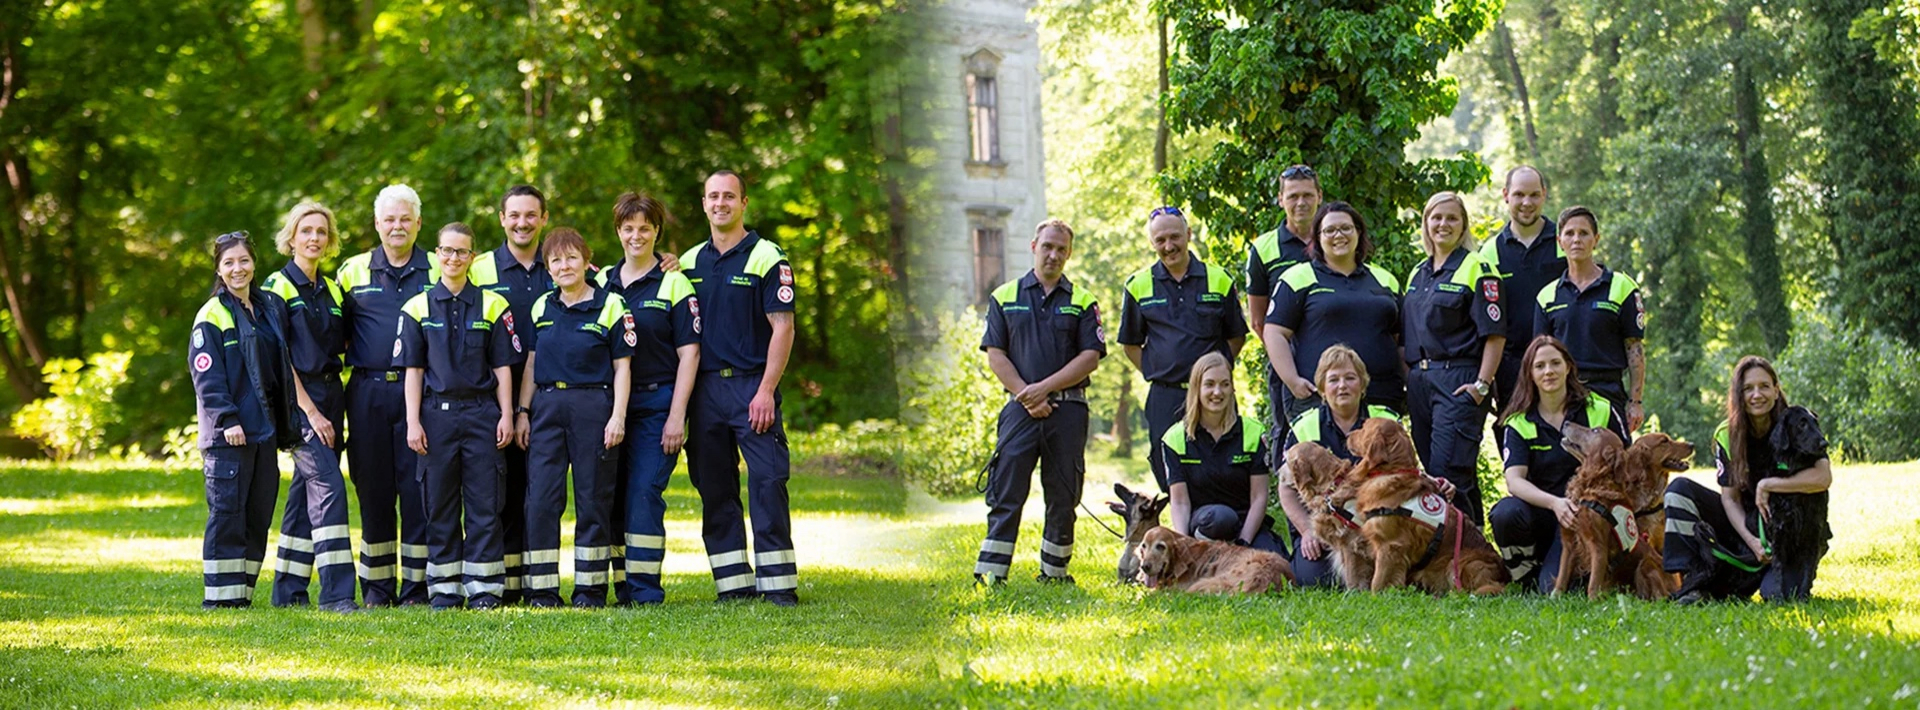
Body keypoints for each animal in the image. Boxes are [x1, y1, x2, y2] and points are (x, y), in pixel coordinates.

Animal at [1351, 418, 1512, 594]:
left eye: (1363, 428)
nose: (1348, 434)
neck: (1391, 471)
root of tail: (1505, 575)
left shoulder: (1391, 546)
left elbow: (1379, 579)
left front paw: (1375, 596)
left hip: (1459, 563)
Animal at [1559, 422, 1681, 598]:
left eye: (1596, 430)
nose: (1566, 422)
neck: (1592, 485)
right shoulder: (1569, 544)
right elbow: (1560, 580)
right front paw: (1554, 597)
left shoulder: (1598, 546)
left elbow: (1593, 584)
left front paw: (1593, 601)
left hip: (1647, 563)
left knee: (1661, 595)